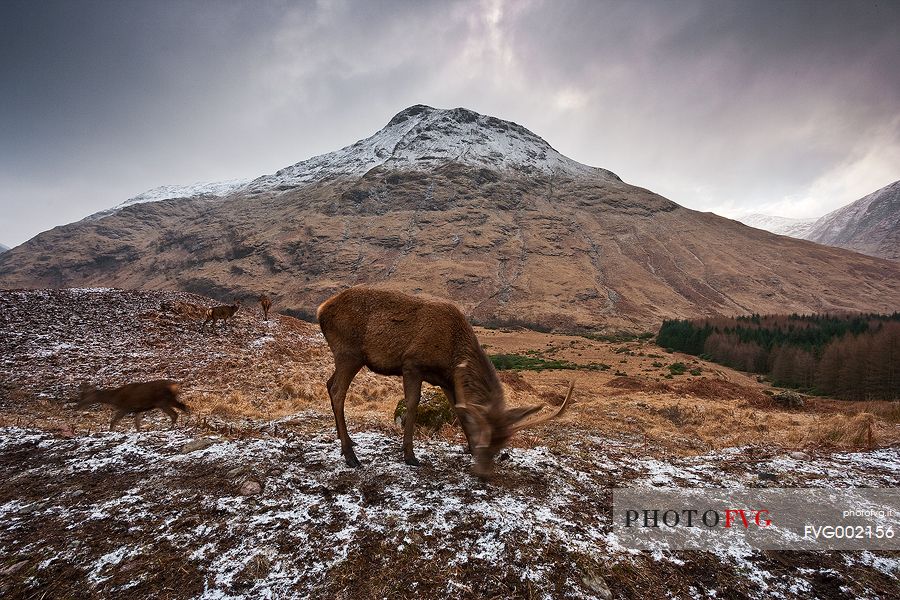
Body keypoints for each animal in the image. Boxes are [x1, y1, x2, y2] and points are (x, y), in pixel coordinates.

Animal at [312, 286, 572, 478]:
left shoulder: (446, 380)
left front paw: (467, 448)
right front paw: (409, 456)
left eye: (501, 445)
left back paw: (347, 442)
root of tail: (320, 310)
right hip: (349, 352)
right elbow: (412, 404)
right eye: (485, 438)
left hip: (346, 356)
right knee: (337, 390)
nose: (484, 473)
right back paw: (350, 456)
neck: (452, 351)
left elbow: (459, 411)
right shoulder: (412, 364)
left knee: (328, 383)